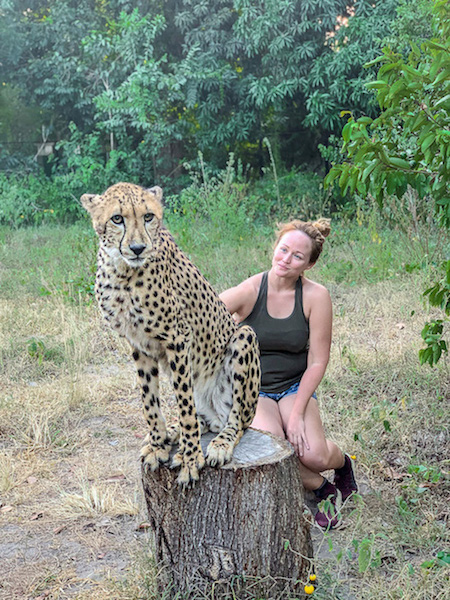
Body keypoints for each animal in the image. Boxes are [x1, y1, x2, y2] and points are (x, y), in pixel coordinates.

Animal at [81, 182, 260, 482]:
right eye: (117, 218)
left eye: (148, 216)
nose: (138, 248)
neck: (122, 271)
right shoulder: (138, 344)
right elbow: (149, 401)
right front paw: (157, 445)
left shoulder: (178, 338)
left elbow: (184, 404)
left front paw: (190, 459)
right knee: (201, 419)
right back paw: (169, 434)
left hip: (244, 336)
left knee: (237, 419)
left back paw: (219, 444)